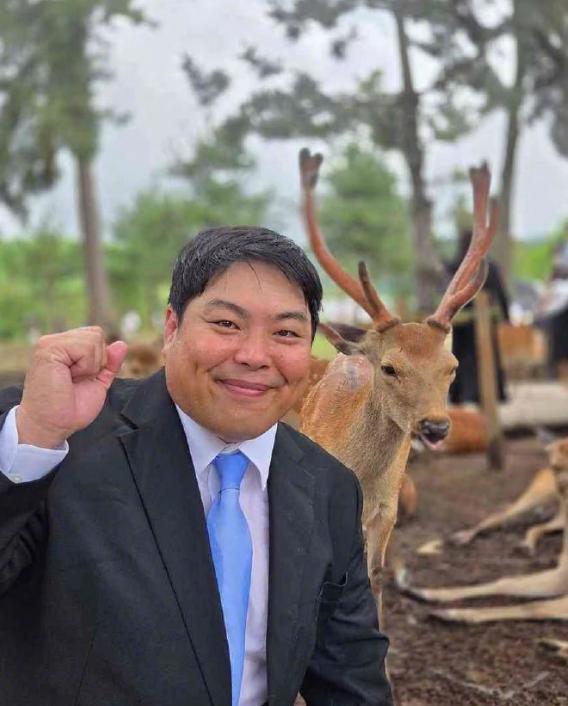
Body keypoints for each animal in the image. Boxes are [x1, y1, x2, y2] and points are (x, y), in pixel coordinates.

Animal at [399, 437, 568, 626]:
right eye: (555, 467)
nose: (561, 489)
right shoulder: (560, 576)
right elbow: (505, 582)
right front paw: (429, 593)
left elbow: (533, 606)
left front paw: (454, 613)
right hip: (536, 498)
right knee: (499, 516)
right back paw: (465, 537)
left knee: (537, 526)